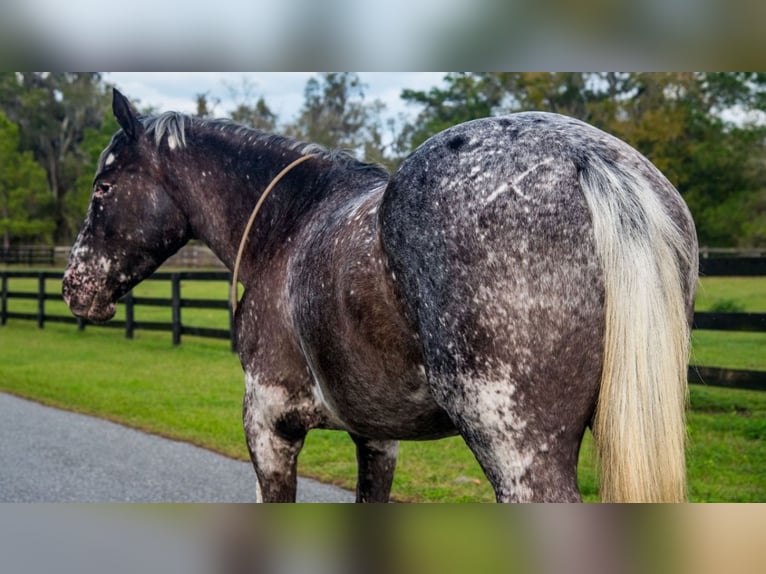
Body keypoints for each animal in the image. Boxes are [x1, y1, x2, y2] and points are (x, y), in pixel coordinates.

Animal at [63, 90, 700, 504]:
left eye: (103, 188)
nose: (75, 286)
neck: (289, 223)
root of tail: (587, 160)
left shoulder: (268, 426)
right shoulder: (377, 437)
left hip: (518, 453)